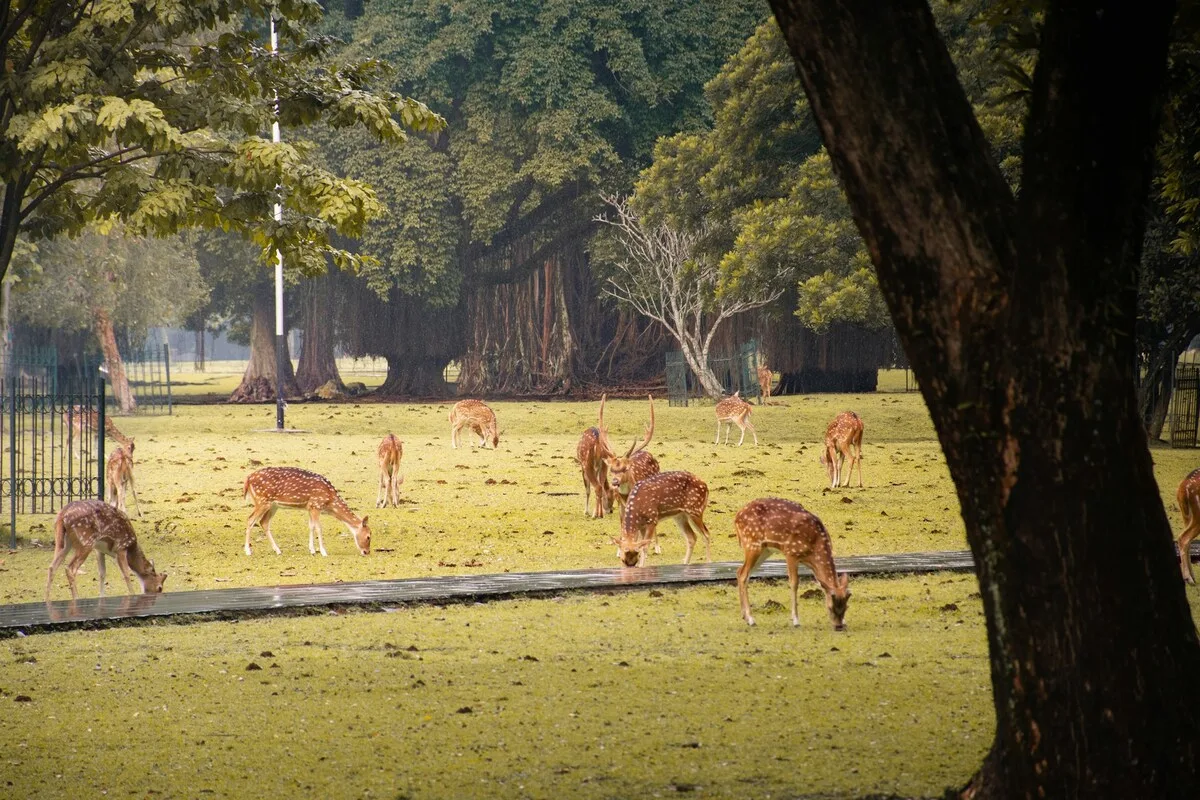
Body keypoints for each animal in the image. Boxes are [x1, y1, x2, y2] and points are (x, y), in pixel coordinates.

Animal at [734, 494, 849, 633]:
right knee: (744, 574)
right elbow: (794, 583)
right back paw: (751, 620)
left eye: (846, 607)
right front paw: (796, 621)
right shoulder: (791, 552)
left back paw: (745, 616)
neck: (815, 544)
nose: (839, 626)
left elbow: (821, 583)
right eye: (831, 607)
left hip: (765, 550)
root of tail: (736, 517)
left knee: (739, 571)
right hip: (752, 543)